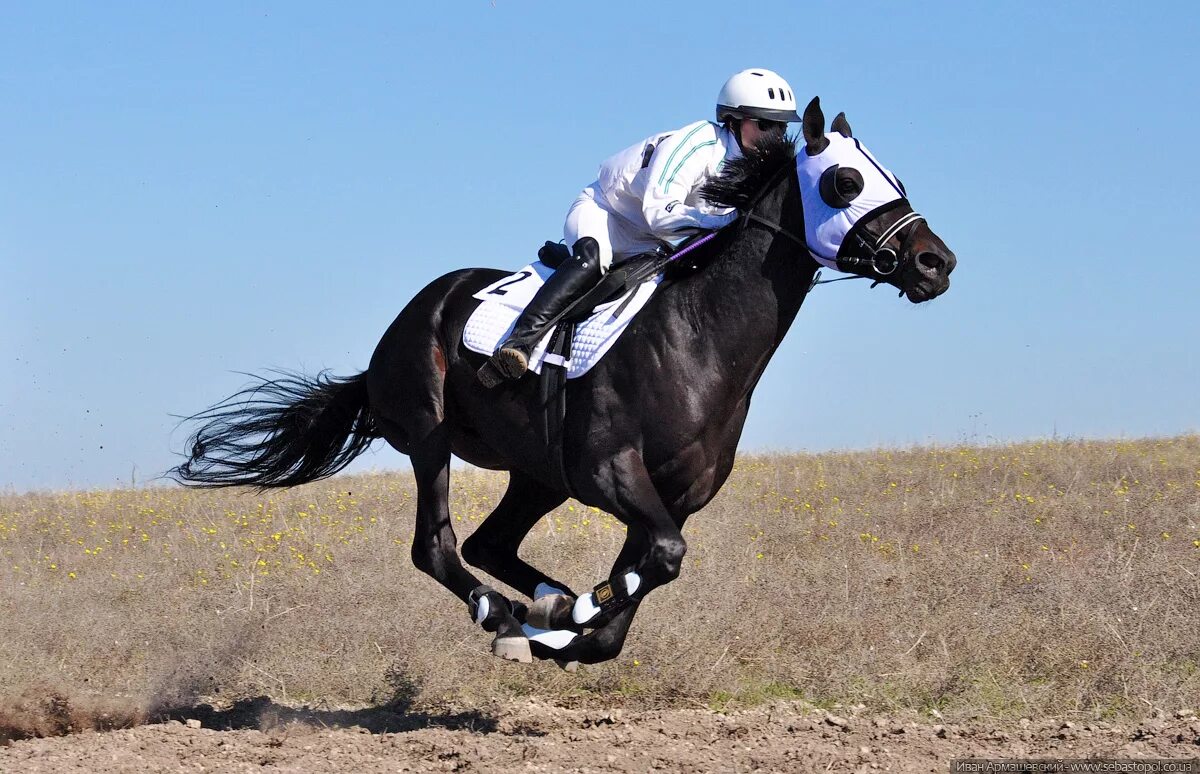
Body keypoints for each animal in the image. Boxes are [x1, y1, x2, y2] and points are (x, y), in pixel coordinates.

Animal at [171, 96, 955, 662]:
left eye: (898, 181)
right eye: (845, 182)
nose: (935, 262)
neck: (698, 337)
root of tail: (392, 336)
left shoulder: (673, 497)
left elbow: (641, 586)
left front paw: (570, 626)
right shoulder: (612, 472)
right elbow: (661, 559)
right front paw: (564, 619)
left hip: (537, 473)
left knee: (488, 544)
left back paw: (535, 608)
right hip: (429, 434)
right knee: (438, 546)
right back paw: (503, 613)